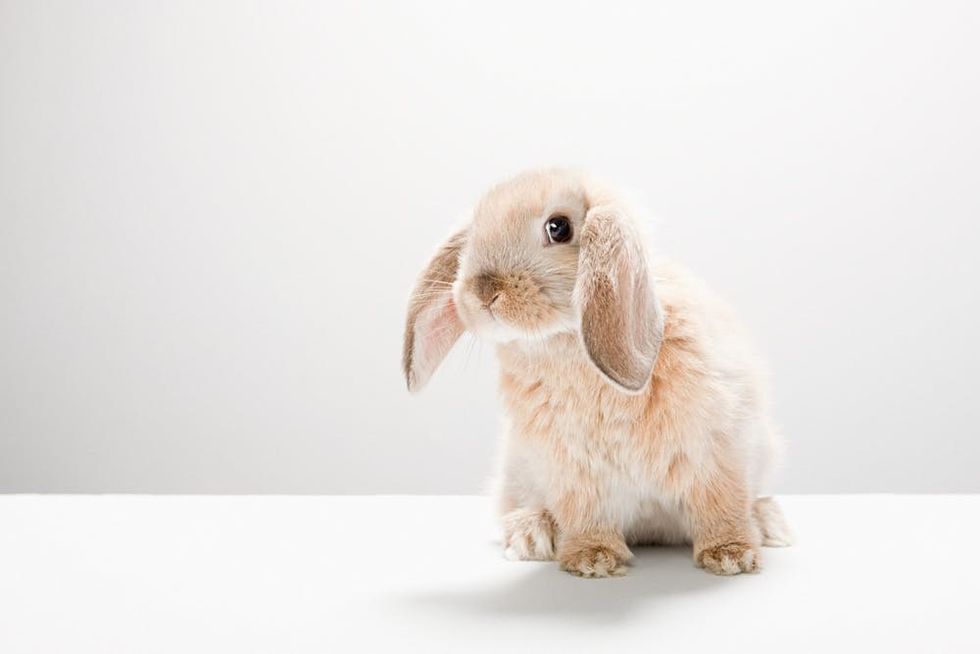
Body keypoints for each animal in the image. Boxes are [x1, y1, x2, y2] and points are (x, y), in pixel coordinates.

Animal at [403, 168, 792, 578]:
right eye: (474, 233)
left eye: (558, 227)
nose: (483, 292)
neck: (566, 346)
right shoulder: (572, 470)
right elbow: (585, 515)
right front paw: (592, 560)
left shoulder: (717, 451)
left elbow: (721, 505)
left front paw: (731, 556)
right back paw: (530, 534)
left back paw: (768, 523)